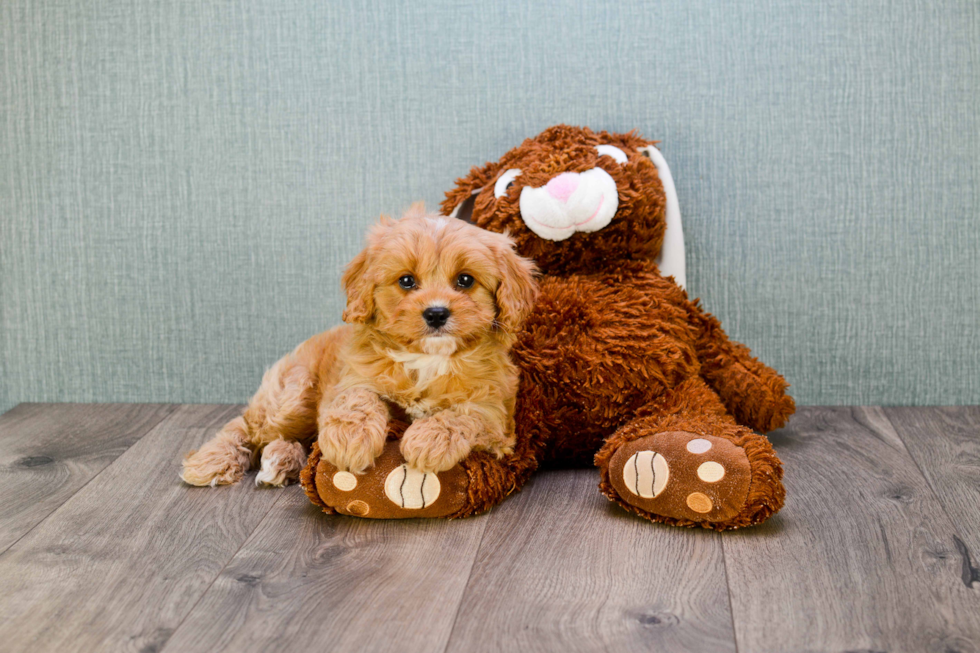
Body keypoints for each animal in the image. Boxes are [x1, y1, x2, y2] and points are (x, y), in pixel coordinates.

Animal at [182, 206, 536, 486]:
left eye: (465, 280)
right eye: (407, 281)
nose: (436, 313)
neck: (427, 359)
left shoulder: (496, 415)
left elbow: (463, 415)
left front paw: (430, 439)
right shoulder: (353, 378)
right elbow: (358, 399)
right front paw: (350, 438)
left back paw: (282, 460)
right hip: (291, 396)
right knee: (247, 425)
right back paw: (212, 461)